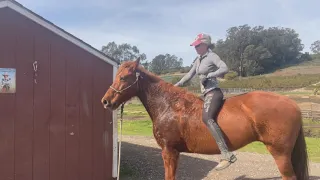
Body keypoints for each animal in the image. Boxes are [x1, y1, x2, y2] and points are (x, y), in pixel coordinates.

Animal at [101, 57, 308, 180]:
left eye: (124, 77)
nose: (106, 101)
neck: (169, 105)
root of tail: (293, 104)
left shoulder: (169, 152)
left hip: (280, 153)